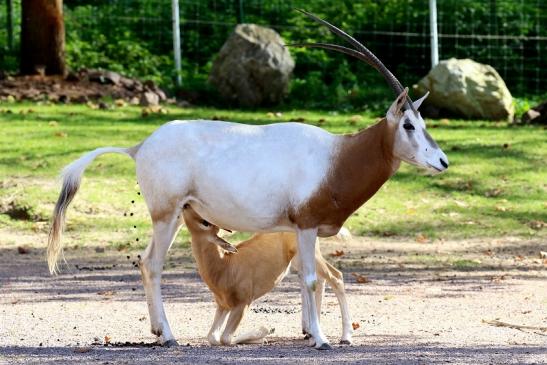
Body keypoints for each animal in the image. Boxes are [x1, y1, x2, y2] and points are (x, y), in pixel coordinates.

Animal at [182, 203, 354, 346]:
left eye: (205, 222)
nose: (185, 205)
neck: (226, 265)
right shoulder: (223, 306)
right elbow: (212, 337)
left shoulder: (243, 304)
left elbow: (226, 338)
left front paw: (264, 332)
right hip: (300, 260)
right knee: (314, 280)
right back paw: (310, 333)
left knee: (335, 277)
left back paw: (344, 337)